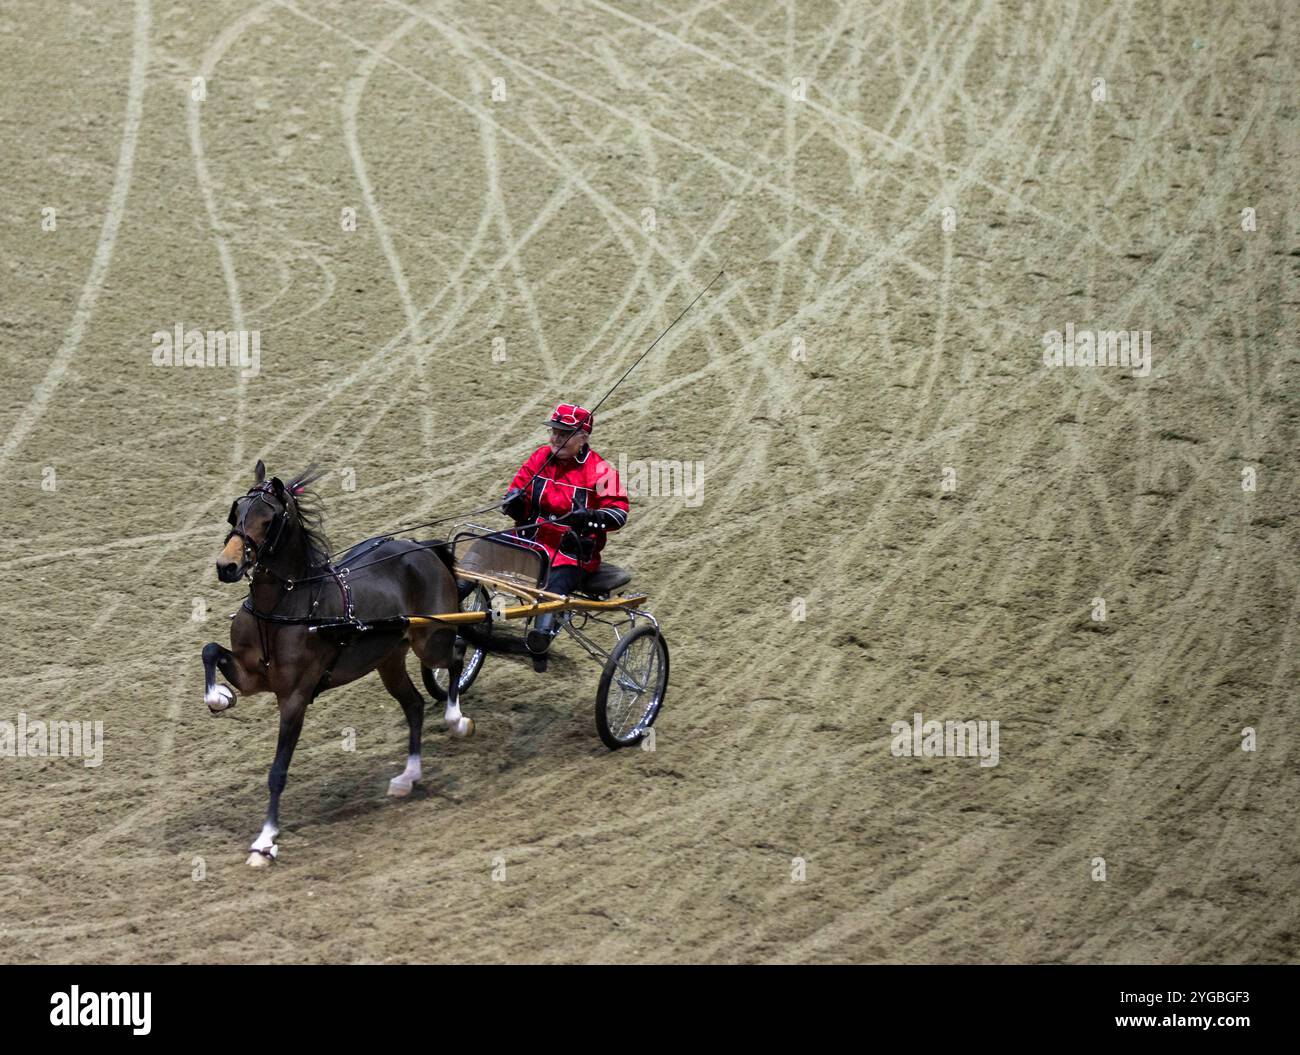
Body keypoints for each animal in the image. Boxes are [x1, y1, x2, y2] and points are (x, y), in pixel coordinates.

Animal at [200, 459, 470, 867]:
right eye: (236, 512)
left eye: (268, 520)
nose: (226, 566)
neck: (282, 608)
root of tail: (422, 548)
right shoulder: (251, 677)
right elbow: (210, 651)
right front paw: (219, 697)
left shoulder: (294, 698)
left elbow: (278, 771)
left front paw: (265, 841)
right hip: (389, 659)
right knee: (414, 705)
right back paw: (407, 777)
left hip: (430, 641)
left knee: (456, 654)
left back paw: (456, 719)